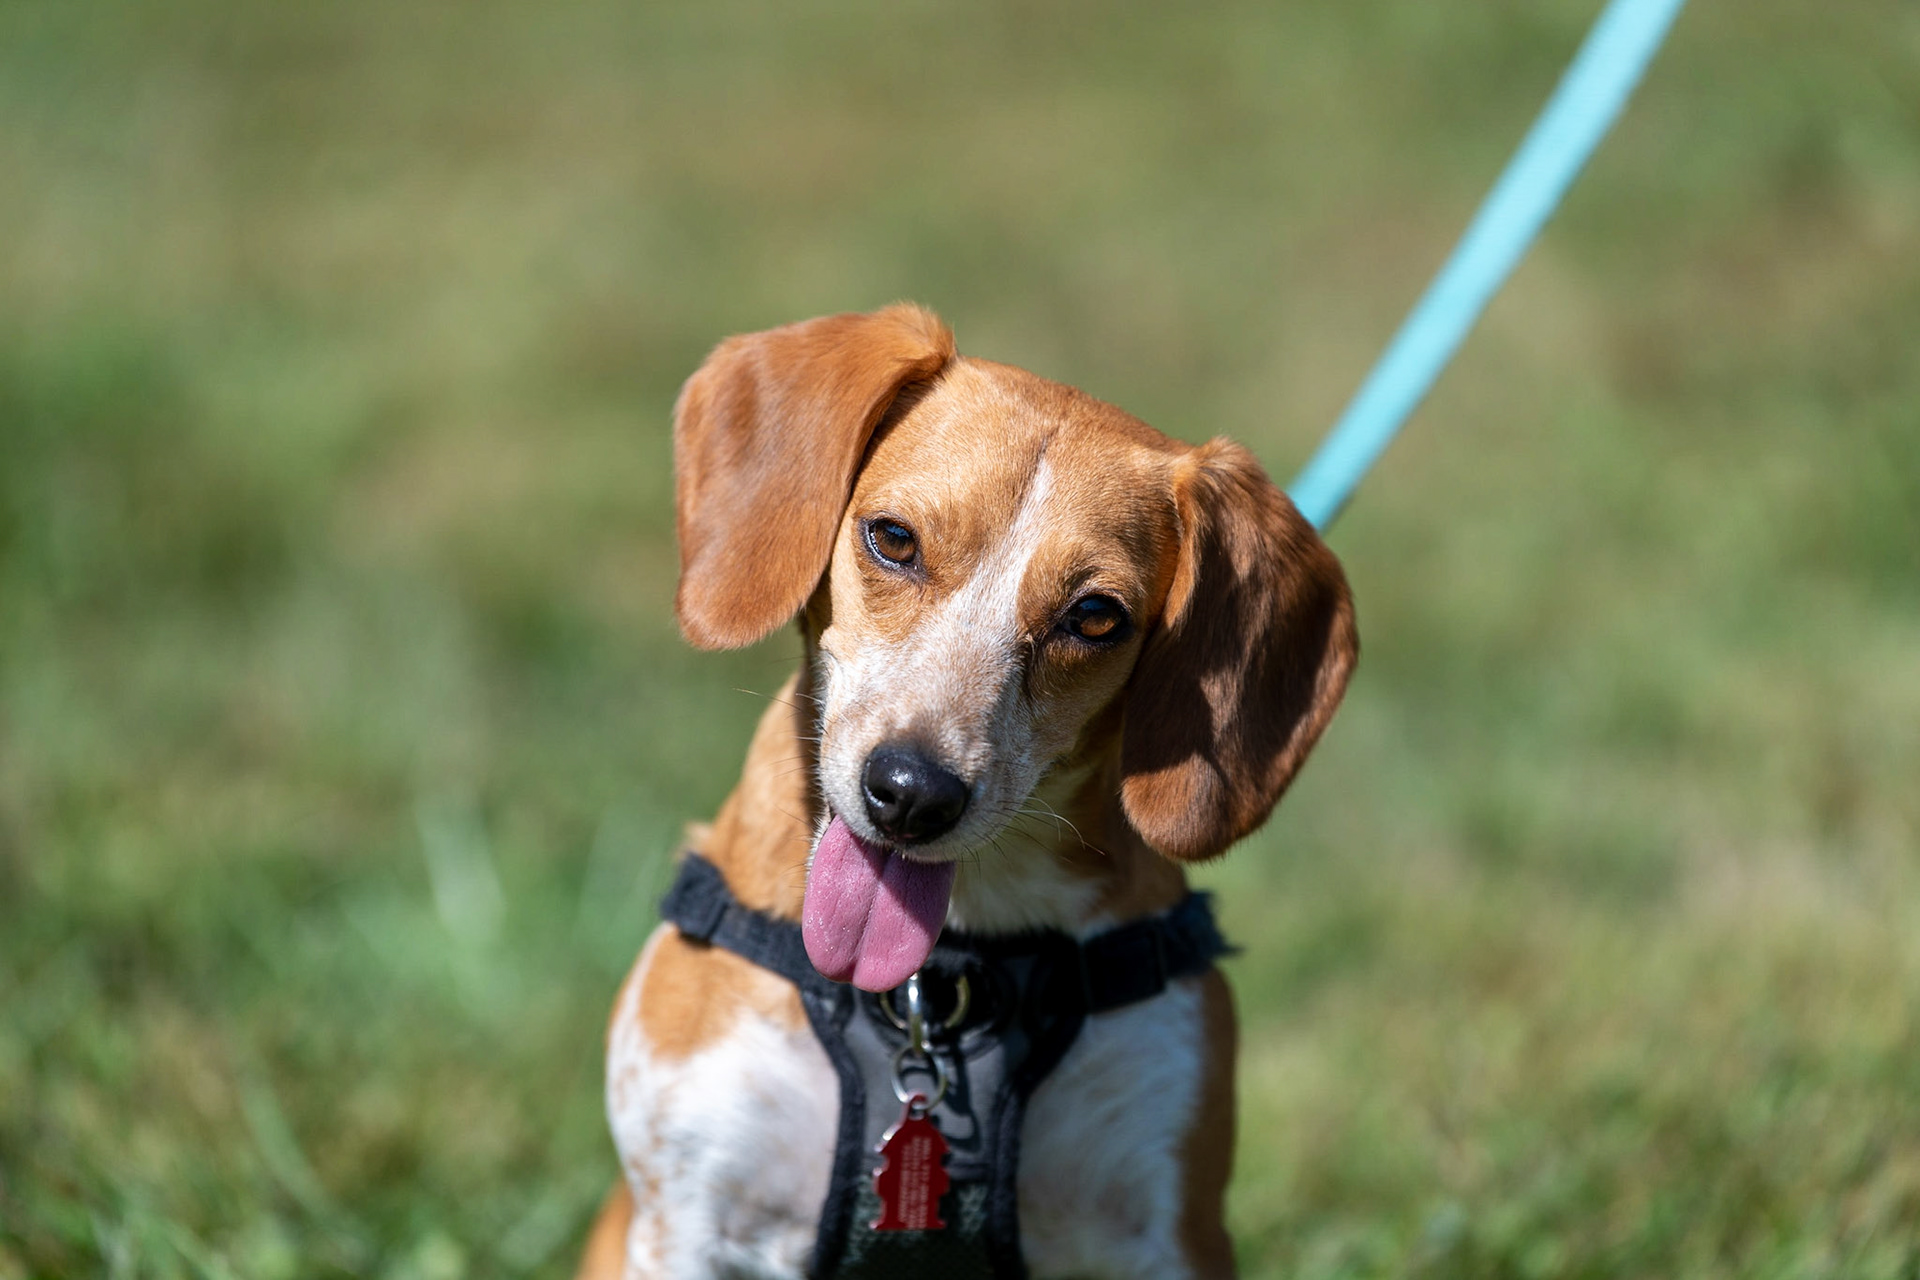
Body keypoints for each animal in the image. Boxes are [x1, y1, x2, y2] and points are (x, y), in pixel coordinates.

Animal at [578, 304, 1356, 1279]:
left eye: (1095, 617)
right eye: (894, 539)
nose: (911, 793)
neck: (936, 985)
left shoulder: (1165, 1232)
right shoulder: (688, 1222)